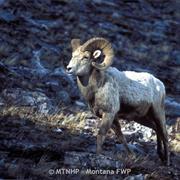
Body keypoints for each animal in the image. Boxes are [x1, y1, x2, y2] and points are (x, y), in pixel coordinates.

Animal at [66, 37, 169, 165]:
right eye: (73, 55)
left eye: (85, 57)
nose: (68, 68)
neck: (97, 87)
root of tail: (160, 84)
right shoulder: (113, 118)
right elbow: (120, 136)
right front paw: (131, 155)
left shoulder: (109, 114)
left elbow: (101, 134)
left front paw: (98, 155)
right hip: (142, 118)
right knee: (156, 129)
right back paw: (160, 156)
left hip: (158, 113)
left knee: (164, 134)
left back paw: (167, 161)